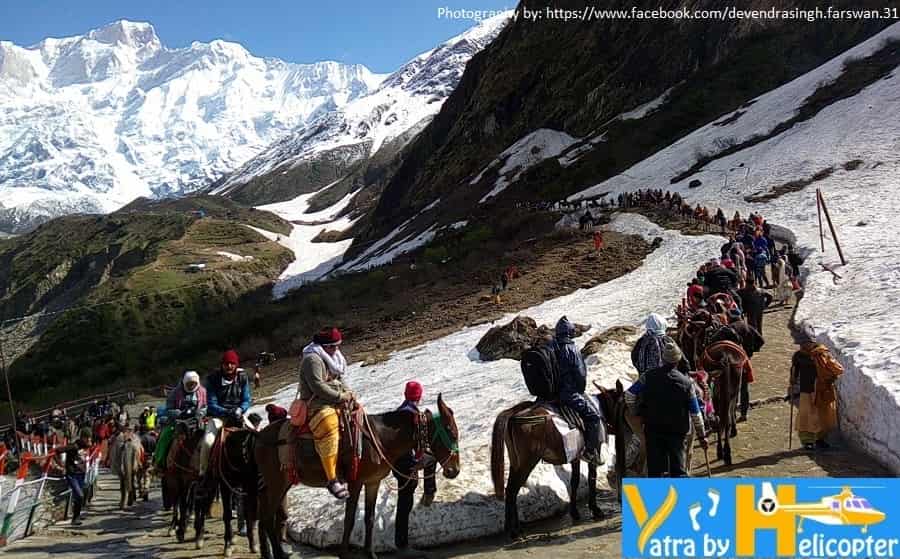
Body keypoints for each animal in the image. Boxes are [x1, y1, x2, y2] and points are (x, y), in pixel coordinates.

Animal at [255, 396, 460, 556]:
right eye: (451, 431)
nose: (454, 470)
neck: (380, 438)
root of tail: (258, 437)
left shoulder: (373, 482)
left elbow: (370, 518)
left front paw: (370, 553)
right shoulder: (355, 483)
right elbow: (349, 520)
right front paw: (344, 554)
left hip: (280, 484)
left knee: (265, 518)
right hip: (276, 484)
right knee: (266, 519)